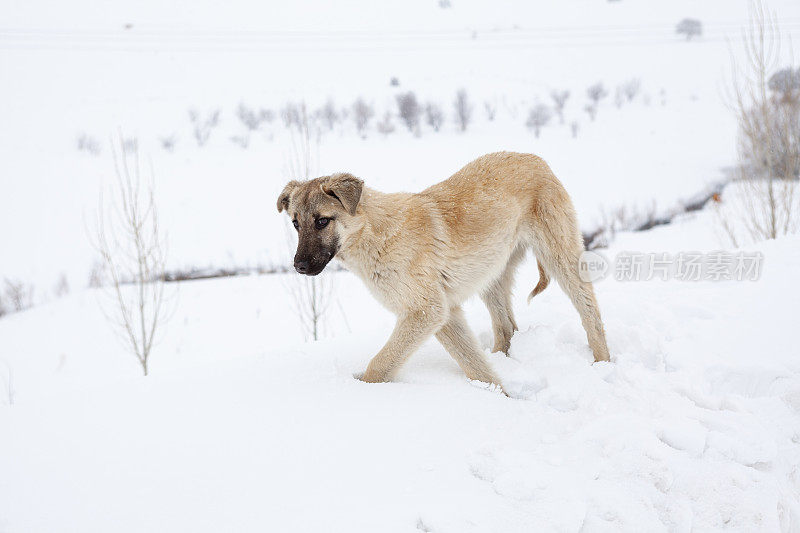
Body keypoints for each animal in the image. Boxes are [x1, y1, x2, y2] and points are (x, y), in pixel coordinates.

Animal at [278, 150, 608, 386]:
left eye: (322, 221)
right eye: (295, 223)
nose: (299, 266)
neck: (374, 234)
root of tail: (535, 158)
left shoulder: (427, 311)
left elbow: (382, 363)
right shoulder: (445, 314)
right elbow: (475, 365)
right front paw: (501, 395)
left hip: (561, 260)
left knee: (591, 314)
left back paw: (603, 365)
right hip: (491, 276)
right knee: (507, 328)